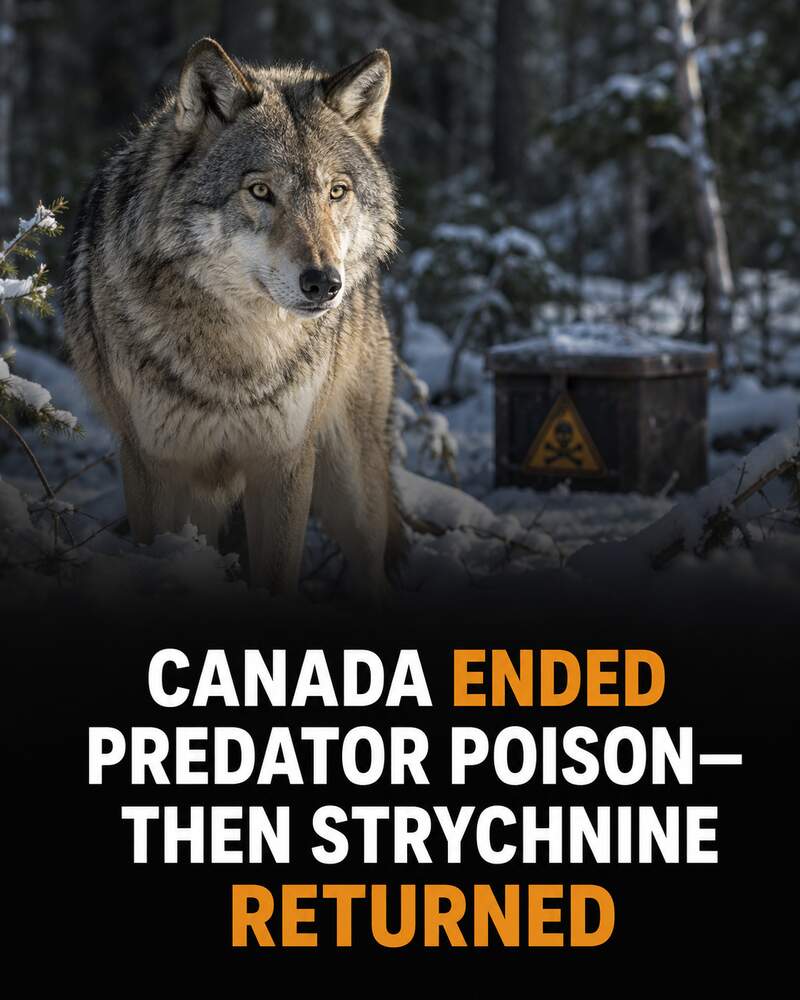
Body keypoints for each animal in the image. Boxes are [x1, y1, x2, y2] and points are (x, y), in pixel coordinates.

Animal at [63, 38, 406, 599]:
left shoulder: (285, 461)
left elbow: (277, 573)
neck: (238, 353)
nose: (324, 283)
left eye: (336, 191)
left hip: (350, 483)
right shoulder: (154, 466)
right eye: (260, 191)